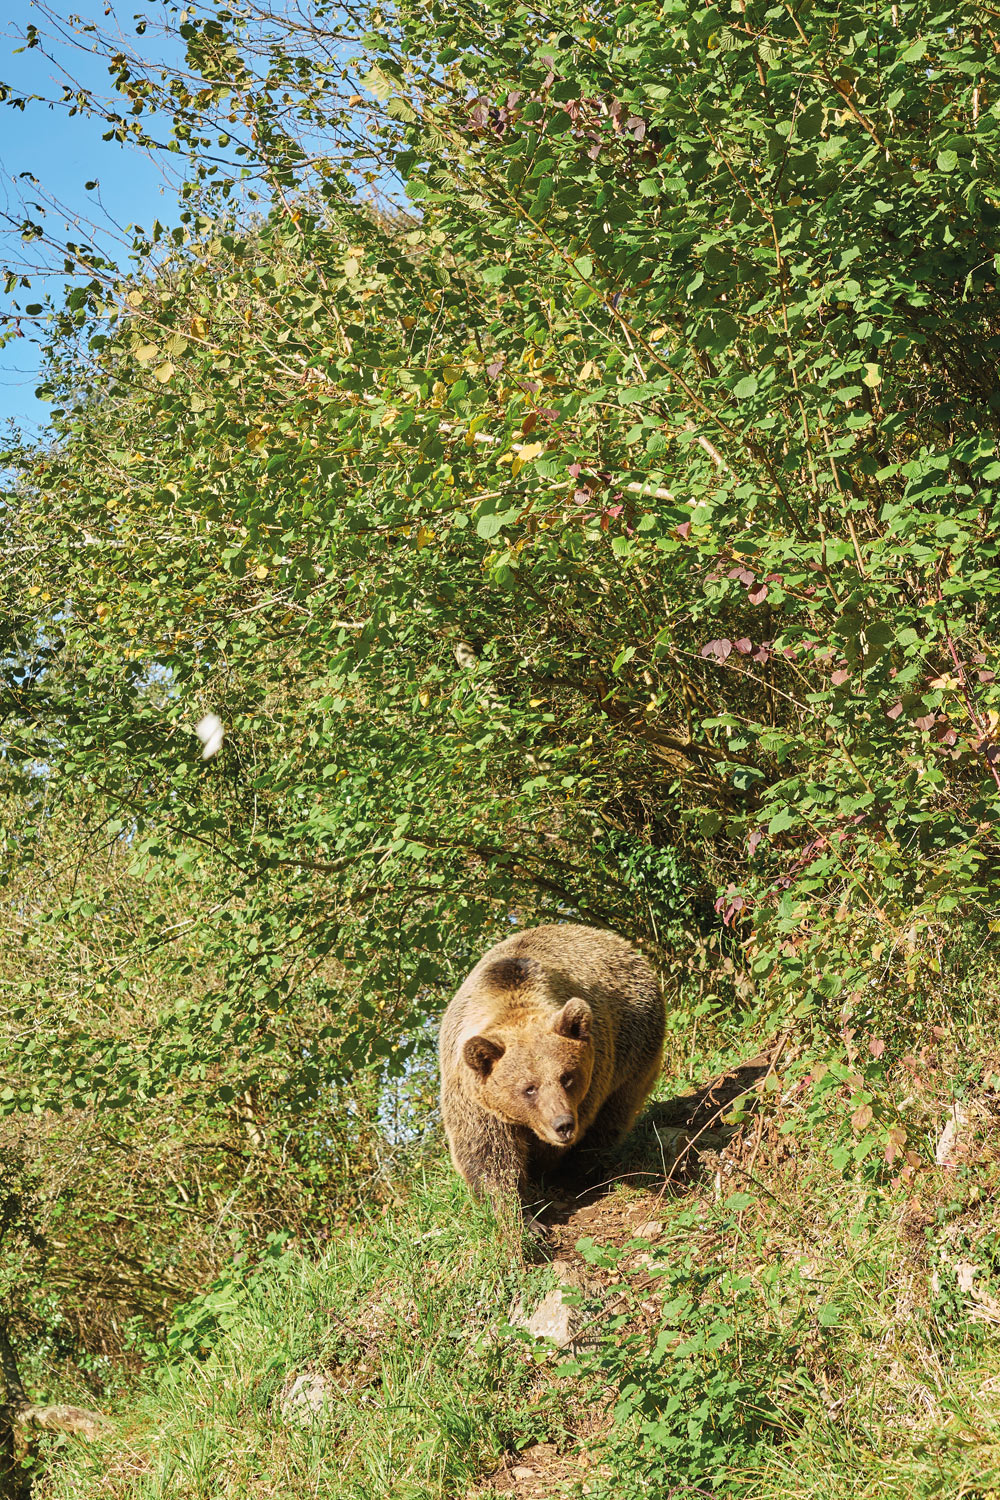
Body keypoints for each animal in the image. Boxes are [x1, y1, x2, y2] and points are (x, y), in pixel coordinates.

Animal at [438, 923, 665, 1203]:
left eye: (566, 1077)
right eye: (528, 1088)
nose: (563, 1124)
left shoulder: (593, 1079)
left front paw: (548, 1172)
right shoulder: (473, 1098)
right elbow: (487, 1151)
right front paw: (512, 1205)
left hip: (635, 1045)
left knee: (613, 1113)